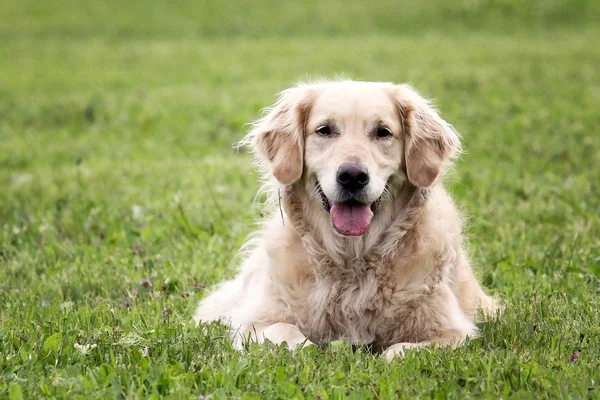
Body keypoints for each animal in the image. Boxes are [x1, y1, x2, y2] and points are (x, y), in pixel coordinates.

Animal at [195, 79, 500, 360]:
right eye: (324, 130)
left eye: (383, 132)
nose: (352, 176)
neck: (351, 260)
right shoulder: (255, 321)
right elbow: (287, 334)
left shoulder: (453, 331)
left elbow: (399, 352)